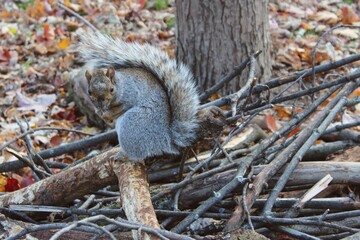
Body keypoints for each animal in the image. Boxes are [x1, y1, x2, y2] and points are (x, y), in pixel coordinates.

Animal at [77, 31, 200, 160]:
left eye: (111, 89)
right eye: (89, 91)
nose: (101, 103)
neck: (121, 84)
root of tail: (165, 140)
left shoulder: (131, 93)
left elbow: (123, 106)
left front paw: (107, 115)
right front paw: (99, 112)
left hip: (130, 125)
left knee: (138, 155)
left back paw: (123, 155)